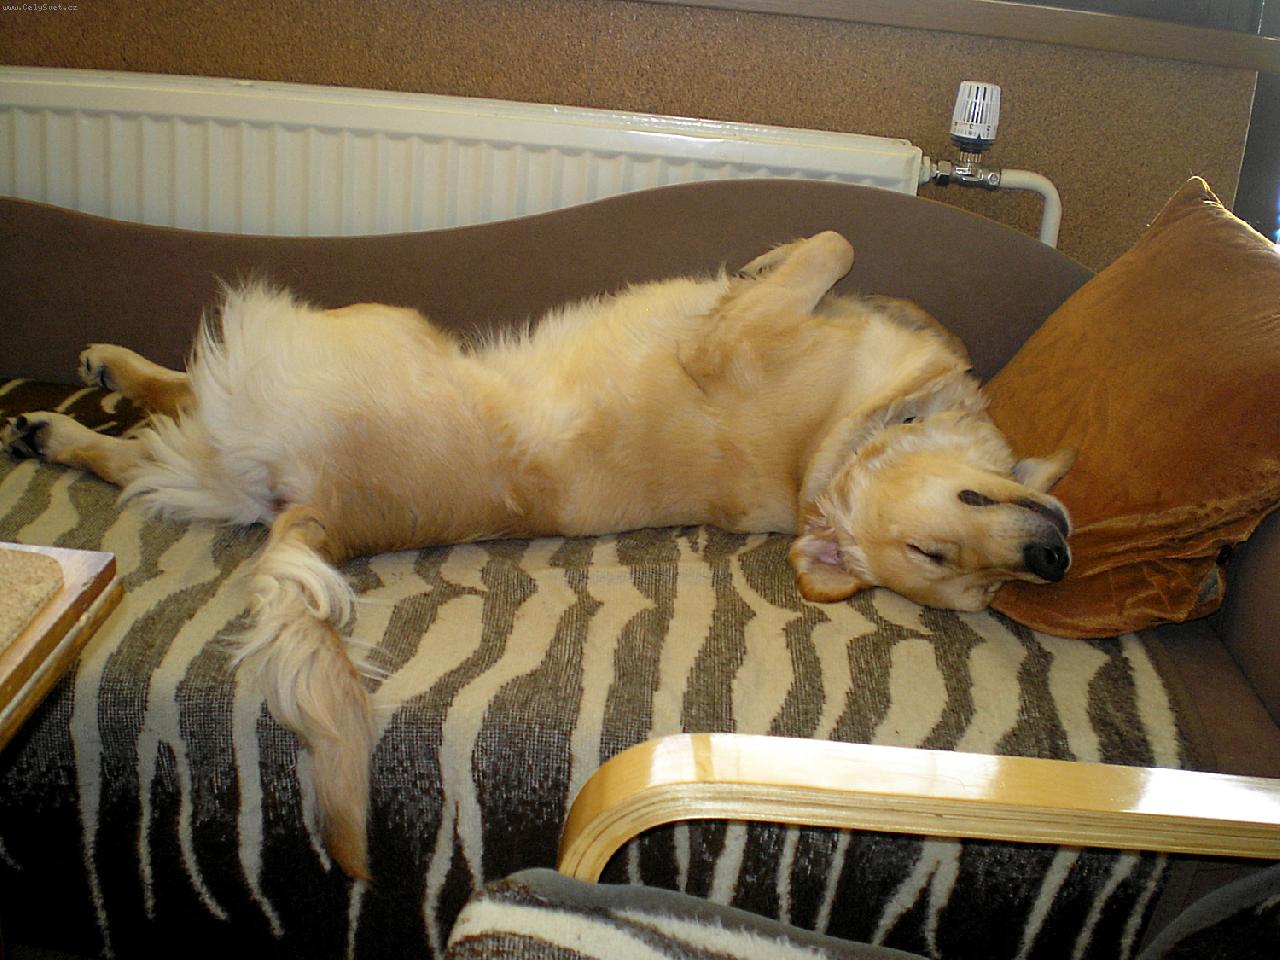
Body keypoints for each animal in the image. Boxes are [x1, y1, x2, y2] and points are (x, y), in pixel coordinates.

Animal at [2, 231, 1073, 879]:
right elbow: (828, 255)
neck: (834, 448)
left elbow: (826, 251)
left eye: (970, 576)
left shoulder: (732, 343)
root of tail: (330, 515)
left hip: (349, 341)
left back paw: (72, 411)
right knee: (153, 439)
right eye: (945, 550)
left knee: (181, 405)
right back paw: (69, 410)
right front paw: (774, 259)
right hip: (247, 445)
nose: (1050, 557)